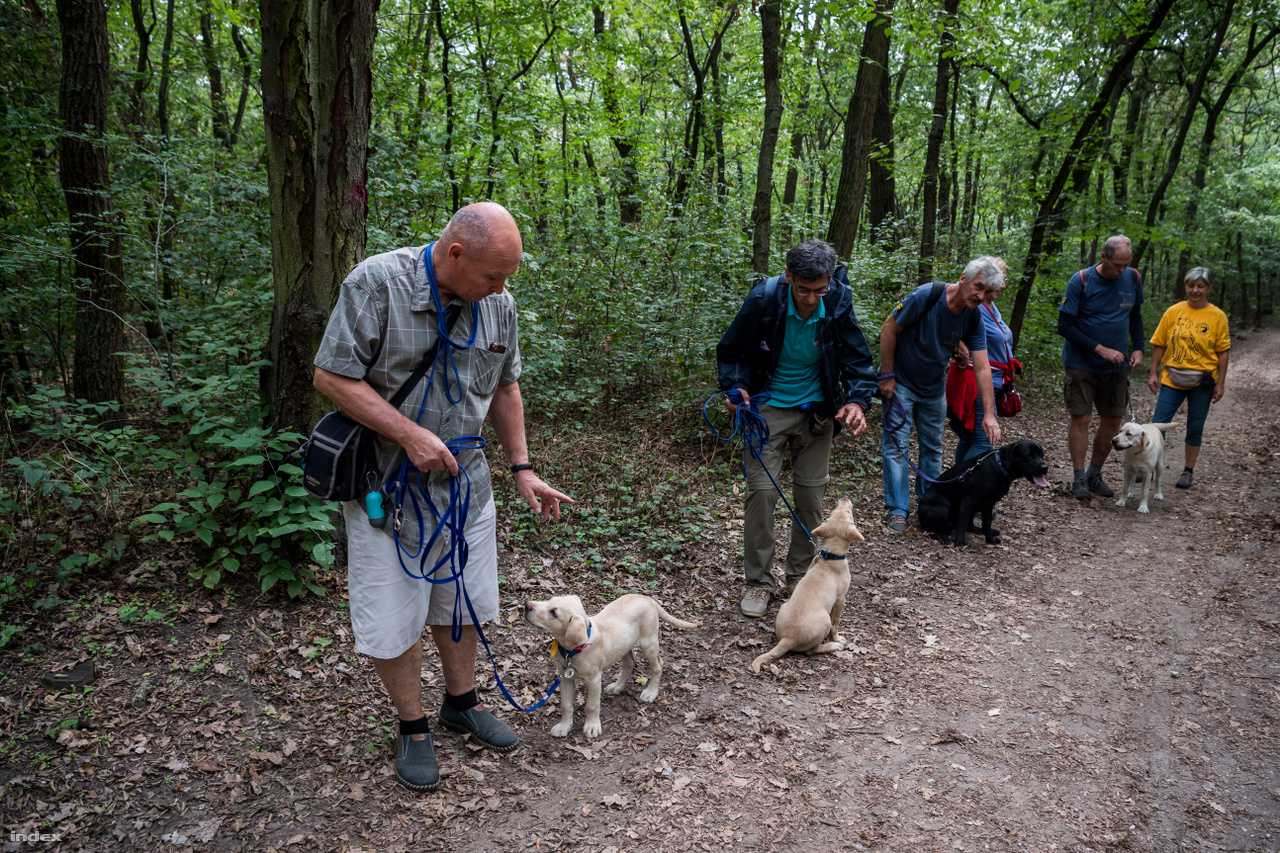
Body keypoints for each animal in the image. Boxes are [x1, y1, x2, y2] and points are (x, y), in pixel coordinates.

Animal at [522, 591, 701, 737]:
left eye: (554, 612)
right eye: (550, 600)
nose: (527, 605)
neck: (573, 650)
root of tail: (646, 597)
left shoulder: (594, 679)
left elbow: (592, 705)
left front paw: (592, 727)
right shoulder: (565, 677)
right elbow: (565, 705)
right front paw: (563, 727)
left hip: (648, 642)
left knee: (658, 665)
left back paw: (650, 692)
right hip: (625, 646)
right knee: (630, 663)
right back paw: (618, 686)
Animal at [752, 499, 865, 671]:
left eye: (833, 512)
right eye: (848, 513)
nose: (844, 497)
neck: (830, 556)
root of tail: (788, 638)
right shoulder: (840, 599)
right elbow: (836, 622)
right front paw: (837, 639)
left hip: (784, 606)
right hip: (824, 621)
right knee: (811, 651)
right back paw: (833, 646)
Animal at [921, 438, 1049, 545]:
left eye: (1041, 454)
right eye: (1029, 455)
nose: (1045, 467)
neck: (1000, 466)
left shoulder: (989, 503)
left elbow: (986, 524)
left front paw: (990, 540)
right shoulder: (968, 500)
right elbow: (962, 523)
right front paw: (960, 542)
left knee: (970, 525)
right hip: (942, 509)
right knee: (928, 529)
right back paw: (941, 536)